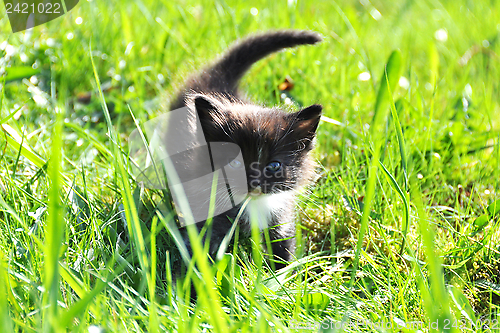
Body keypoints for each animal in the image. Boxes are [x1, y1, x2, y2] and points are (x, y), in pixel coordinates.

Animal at [170, 30, 322, 270]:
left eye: (274, 165)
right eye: (235, 163)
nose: (254, 182)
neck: (252, 203)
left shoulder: (280, 217)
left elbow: (282, 250)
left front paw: (284, 277)